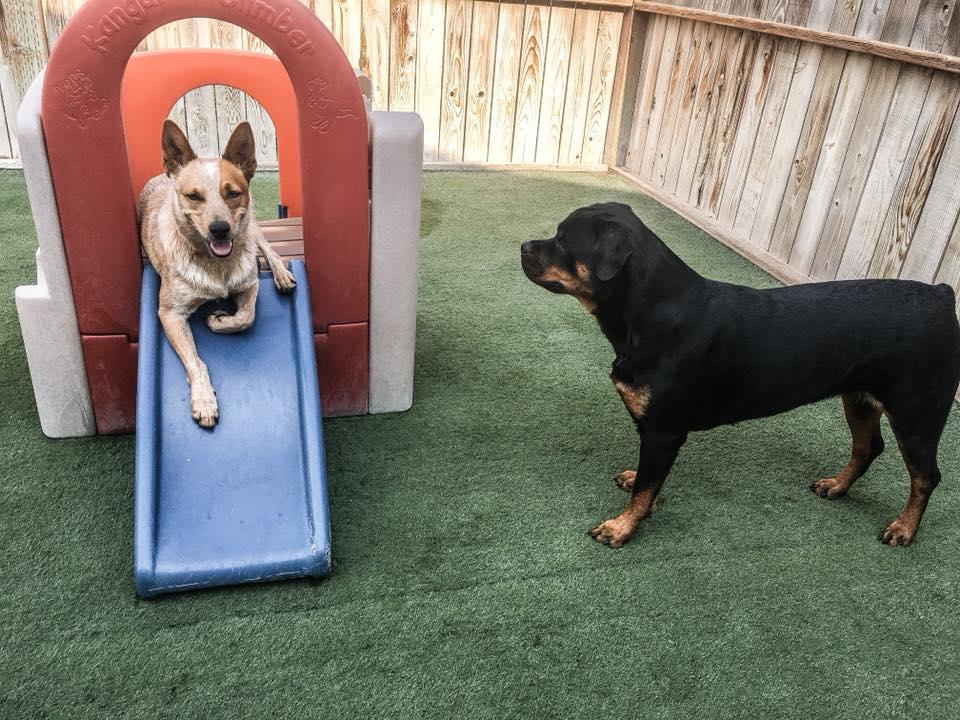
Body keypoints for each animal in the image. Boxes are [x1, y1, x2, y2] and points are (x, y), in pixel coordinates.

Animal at [138, 121, 296, 428]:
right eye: (193, 195)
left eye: (233, 193)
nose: (220, 229)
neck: (217, 266)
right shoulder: (169, 314)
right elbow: (195, 360)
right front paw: (203, 400)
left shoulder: (249, 284)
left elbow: (246, 317)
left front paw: (219, 320)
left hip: (252, 227)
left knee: (266, 247)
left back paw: (282, 274)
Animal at [524, 205, 960, 548]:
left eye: (563, 240)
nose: (525, 246)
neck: (650, 313)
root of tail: (942, 293)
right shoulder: (655, 433)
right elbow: (648, 479)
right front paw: (634, 482)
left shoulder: (663, 431)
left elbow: (648, 488)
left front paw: (621, 527)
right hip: (859, 399)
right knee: (868, 447)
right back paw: (837, 486)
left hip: (917, 413)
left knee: (926, 476)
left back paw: (903, 528)